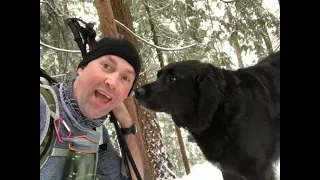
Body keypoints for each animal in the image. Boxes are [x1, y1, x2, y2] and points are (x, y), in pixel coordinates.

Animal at [134, 51, 278, 180]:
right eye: (158, 76)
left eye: (172, 78)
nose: (136, 92)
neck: (217, 111)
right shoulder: (229, 170)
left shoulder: (259, 169)